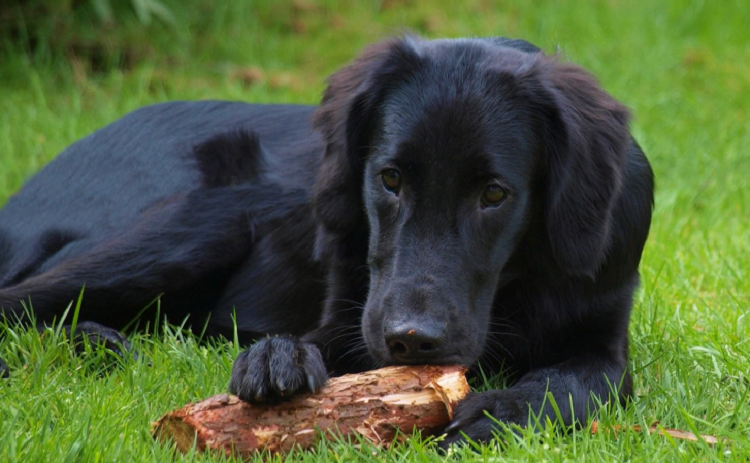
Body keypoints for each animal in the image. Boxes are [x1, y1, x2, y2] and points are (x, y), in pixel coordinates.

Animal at [0, 37, 656, 446]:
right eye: (390, 179)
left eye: (494, 194)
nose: (411, 341)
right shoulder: (350, 313)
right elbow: (317, 339)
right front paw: (276, 357)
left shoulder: (603, 338)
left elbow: (574, 385)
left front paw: (503, 409)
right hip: (198, 224)